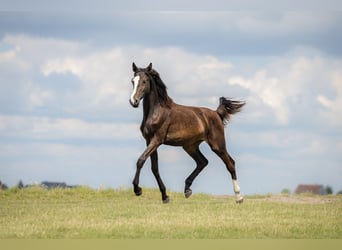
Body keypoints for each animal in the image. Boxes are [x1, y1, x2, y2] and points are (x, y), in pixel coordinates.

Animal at [130, 62, 244, 203]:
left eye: (144, 81)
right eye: (132, 81)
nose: (133, 101)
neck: (157, 111)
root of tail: (216, 113)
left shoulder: (157, 140)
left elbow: (140, 160)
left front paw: (137, 190)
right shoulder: (149, 141)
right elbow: (154, 168)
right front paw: (165, 196)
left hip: (217, 145)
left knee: (230, 164)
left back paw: (239, 197)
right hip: (190, 146)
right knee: (202, 162)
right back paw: (187, 190)